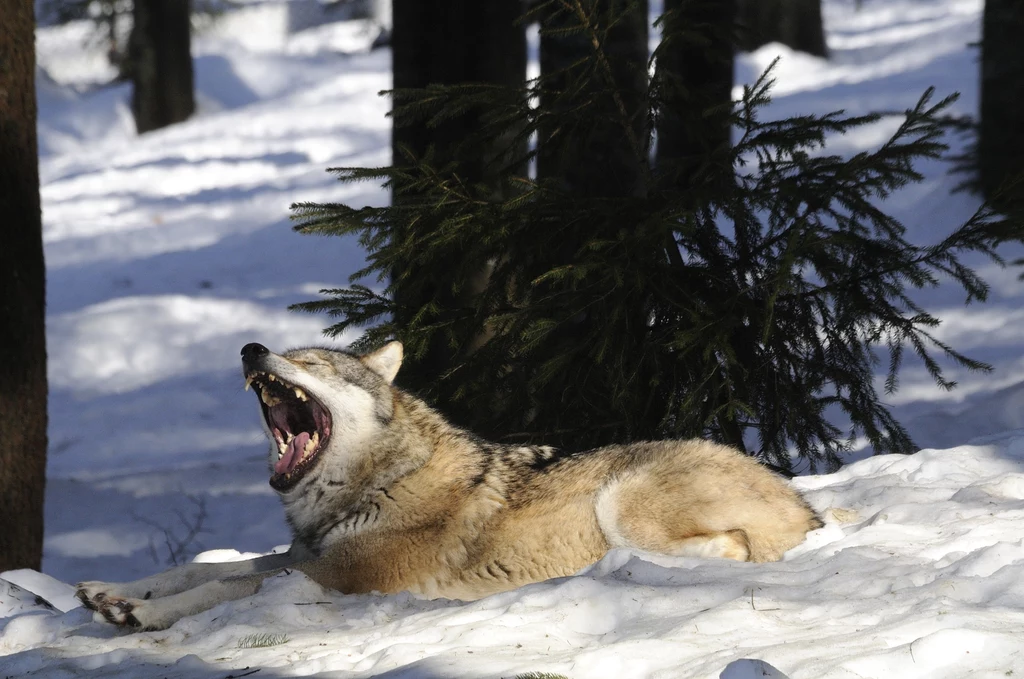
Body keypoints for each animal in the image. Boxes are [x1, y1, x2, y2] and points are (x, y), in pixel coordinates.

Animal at [75, 342, 819, 634]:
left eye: (313, 364)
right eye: (284, 352)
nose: (252, 350)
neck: (380, 481)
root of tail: (803, 503)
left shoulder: (331, 576)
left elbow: (222, 583)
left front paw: (137, 612)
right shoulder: (303, 556)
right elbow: (193, 569)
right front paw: (108, 592)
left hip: (620, 498)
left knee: (728, 549)